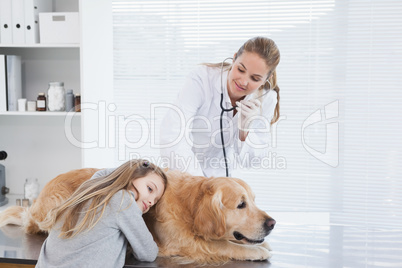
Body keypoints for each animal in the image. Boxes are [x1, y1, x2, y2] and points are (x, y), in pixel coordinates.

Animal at [0, 168, 276, 264]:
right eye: (241, 204)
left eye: (254, 200)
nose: (272, 223)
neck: (191, 206)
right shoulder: (188, 244)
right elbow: (222, 245)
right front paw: (255, 251)